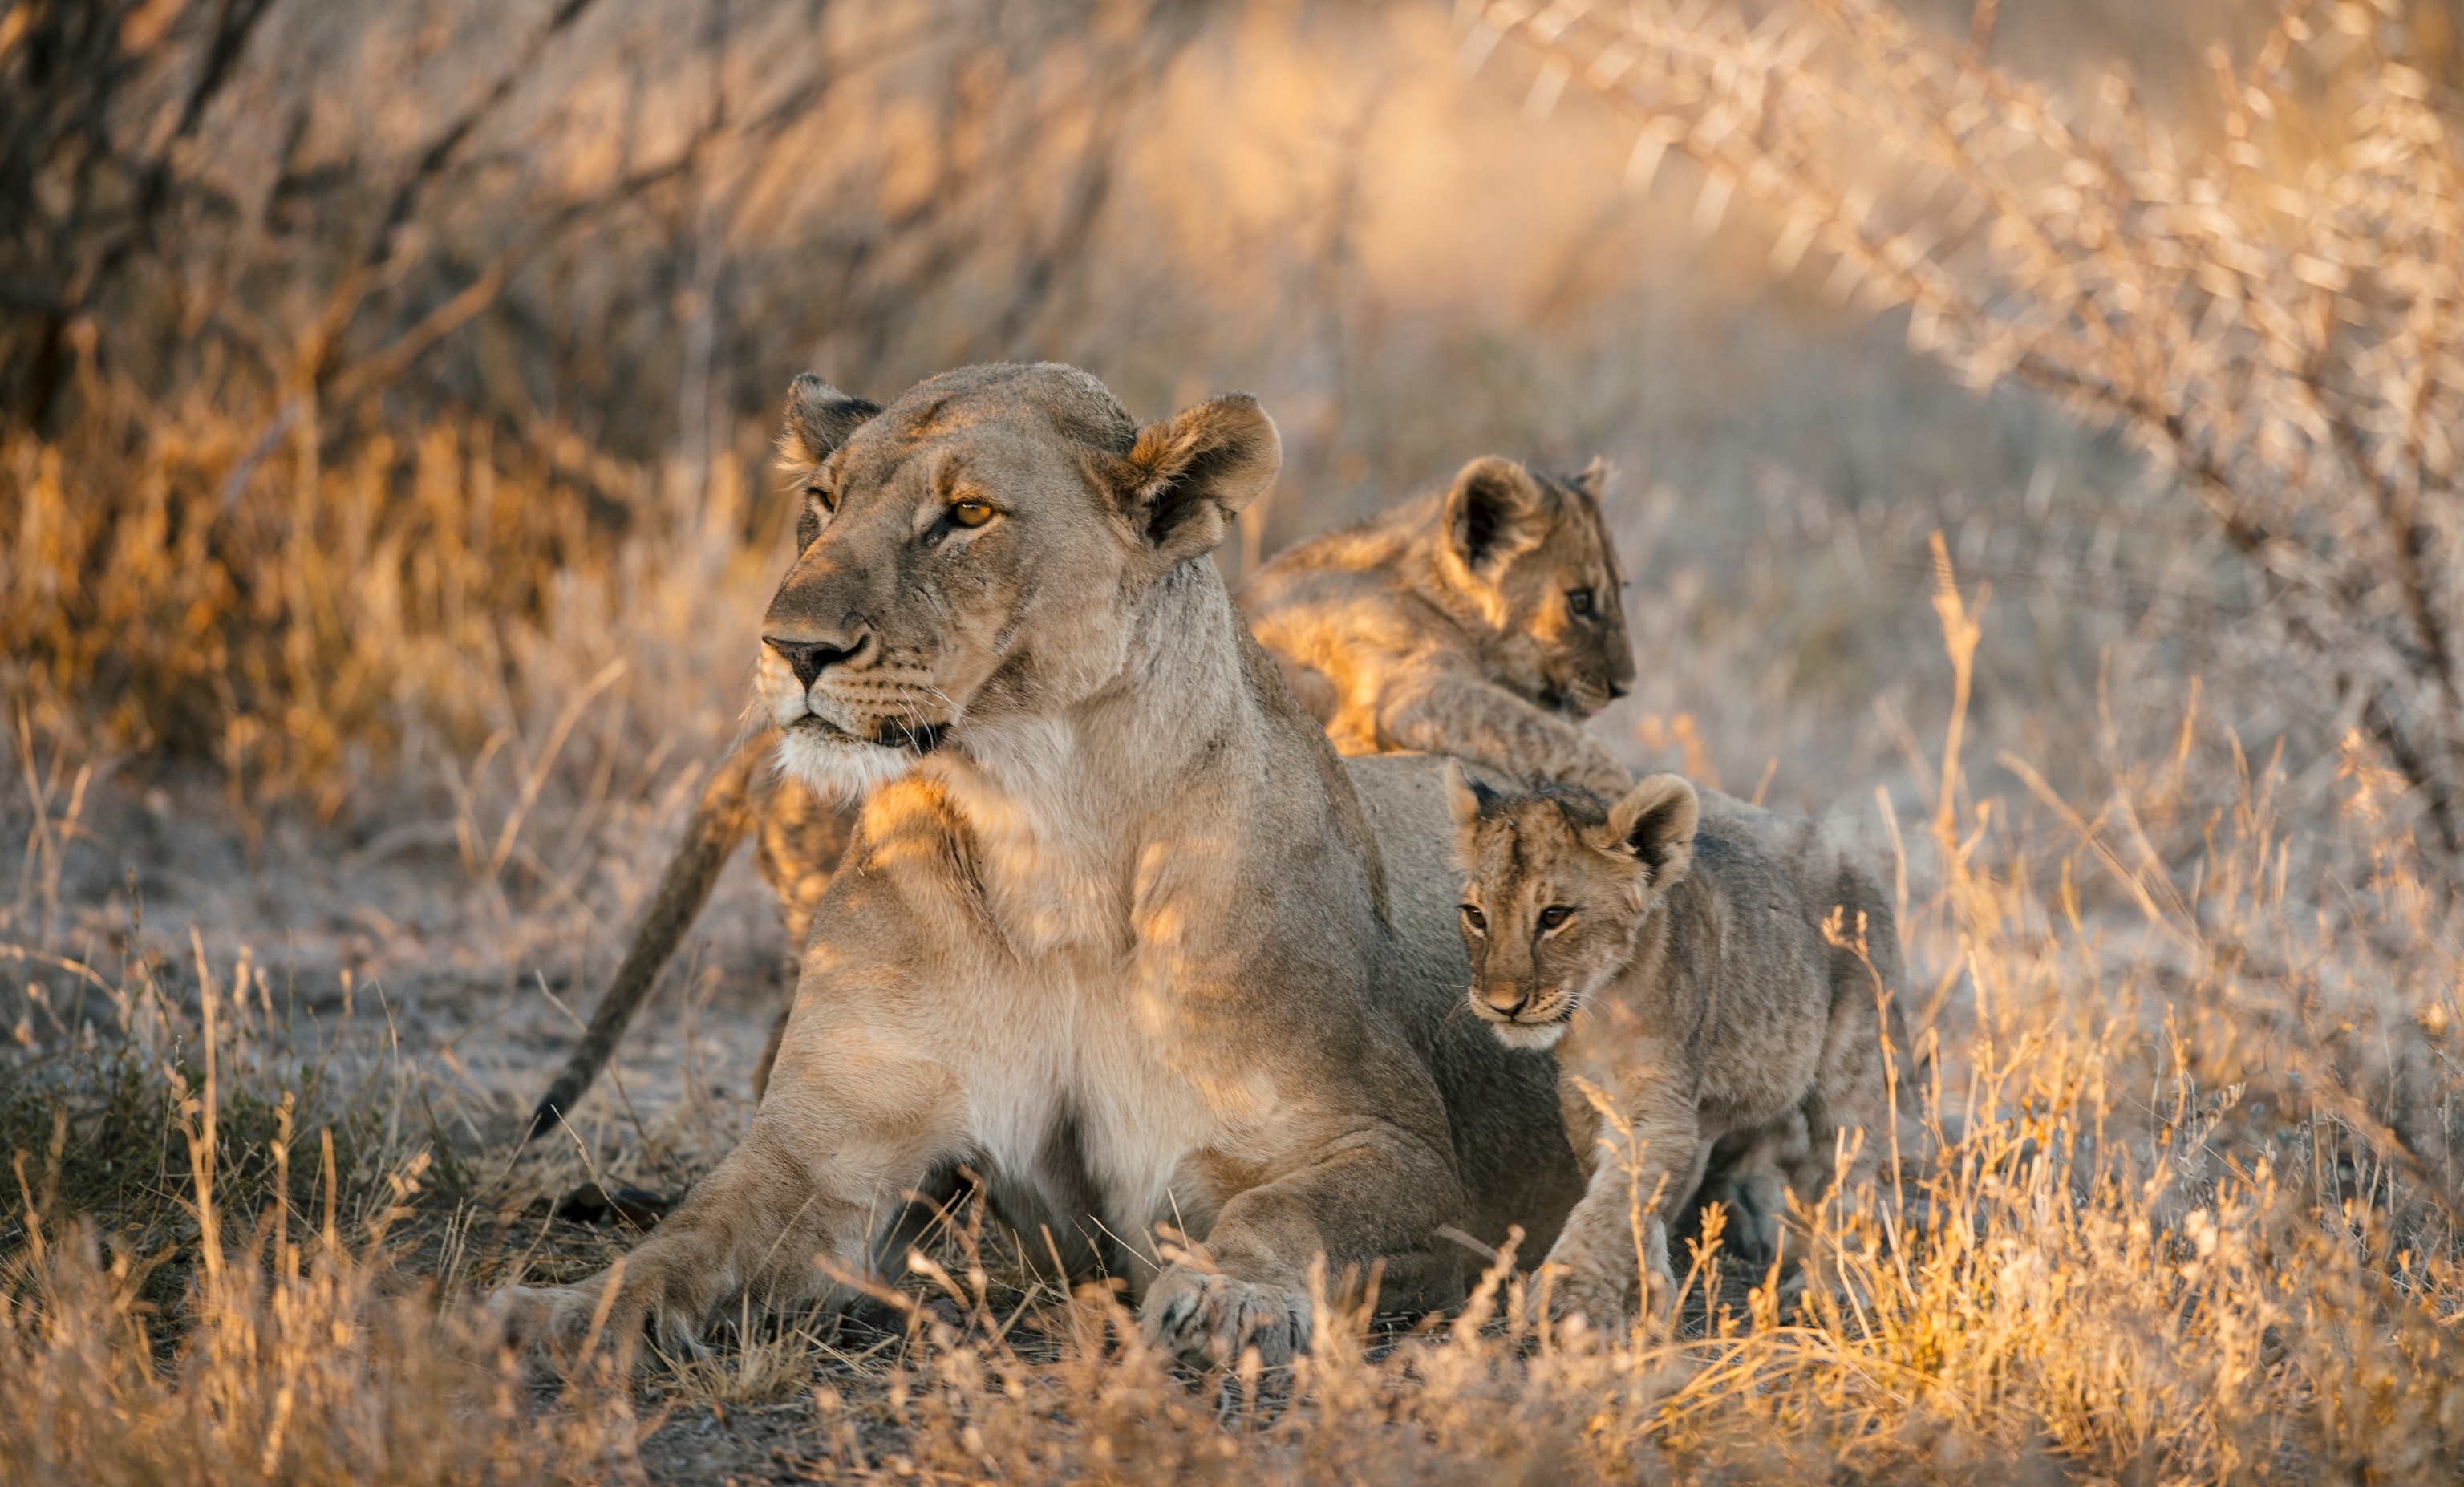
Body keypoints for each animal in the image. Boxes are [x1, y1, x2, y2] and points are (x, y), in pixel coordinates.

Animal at [1443, 768, 1905, 1328]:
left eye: (1554, 915)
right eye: (1475, 915)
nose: (1503, 1005)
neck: (1600, 1004)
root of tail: (1845, 847)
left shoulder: (1660, 1103)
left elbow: (1615, 1200)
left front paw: (1571, 1299)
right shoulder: (1585, 1097)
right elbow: (1626, 1194)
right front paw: (1645, 1294)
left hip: (1853, 1056)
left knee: (1852, 1167)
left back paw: (1832, 1285)